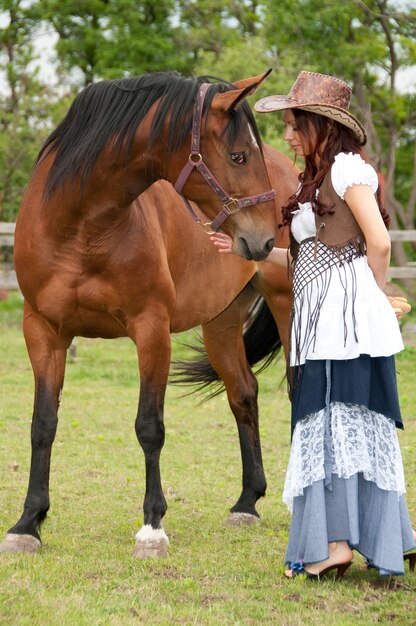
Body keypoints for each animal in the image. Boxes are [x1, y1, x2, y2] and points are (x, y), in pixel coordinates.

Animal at [1, 68, 298, 556]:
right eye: (238, 156)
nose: (265, 239)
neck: (81, 226)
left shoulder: (151, 330)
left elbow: (149, 426)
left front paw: (152, 526)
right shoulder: (43, 331)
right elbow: (43, 424)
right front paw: (28, 523)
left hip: (288, 306)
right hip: (221, 323)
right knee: (243, 394)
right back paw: (246, 503)